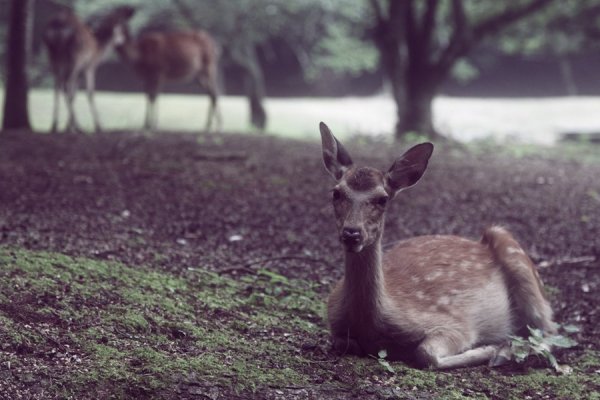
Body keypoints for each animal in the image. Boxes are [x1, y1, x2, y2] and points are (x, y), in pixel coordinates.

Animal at [44, 6, 135, 134]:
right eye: (122, 29)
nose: (124, 40)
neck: (97, 50)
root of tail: (58, 24)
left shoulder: (79, 73)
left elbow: (74, 93)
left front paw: (67, 127)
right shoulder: (89, 67)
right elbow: (89, 92)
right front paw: (98, 126)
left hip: (53, 56)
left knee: (58, 87)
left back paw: (54, 126)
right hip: (75, 57)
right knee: (66, 85)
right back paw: (78, 127)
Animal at [318, 122, 556, 368]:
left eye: (382, 199)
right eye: (336, 192)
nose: (351, 233)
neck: (370, 325)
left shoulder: (456, 323)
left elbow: (426, 353)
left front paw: (491, 348)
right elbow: (343, 343)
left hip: (517, 259)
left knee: (548, 331)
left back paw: (504, 352)